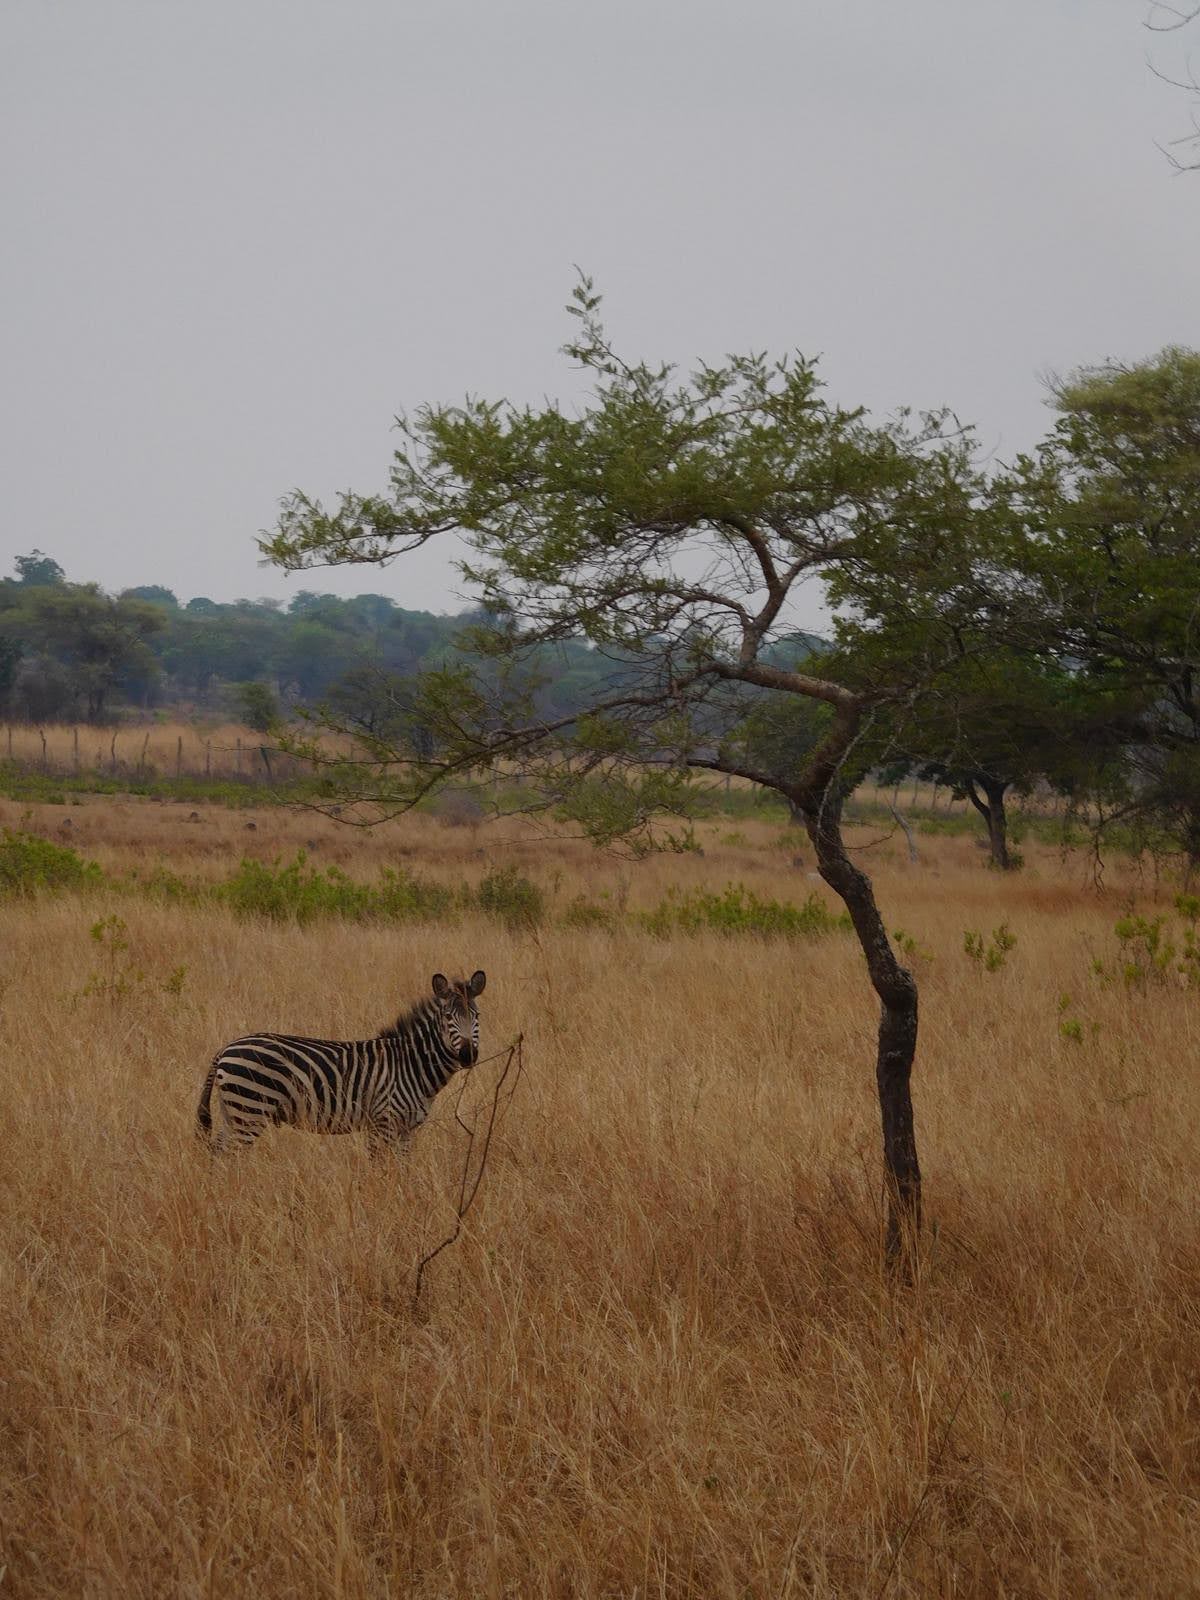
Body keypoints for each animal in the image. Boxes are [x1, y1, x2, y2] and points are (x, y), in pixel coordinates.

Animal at [196, 970, 486, 1155]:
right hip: (249, 1109)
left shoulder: (407, 1131)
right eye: (448, 1016)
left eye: (477, 1015)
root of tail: (226, 1048)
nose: (468, 1056)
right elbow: (378, 1170)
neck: (412, 1065)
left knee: (218, 1153)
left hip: (233, 1111)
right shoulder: (383, 1122)